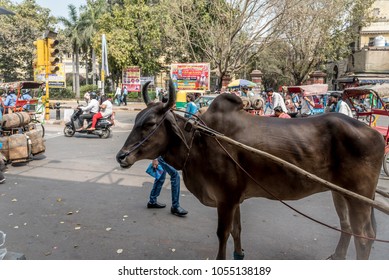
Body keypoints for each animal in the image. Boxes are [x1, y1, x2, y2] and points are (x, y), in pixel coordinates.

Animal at [115, 80, 382, 260]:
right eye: (136, 120)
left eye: (149, 124)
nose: (121, 156)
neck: (198, 140)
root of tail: (376, 134)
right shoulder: (234, 198)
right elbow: (237, 230)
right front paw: (239, 254)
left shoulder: (225, 198)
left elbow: (223, 233)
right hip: (340, 193)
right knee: (346, 226)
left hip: (359, 197)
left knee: (365, 235)